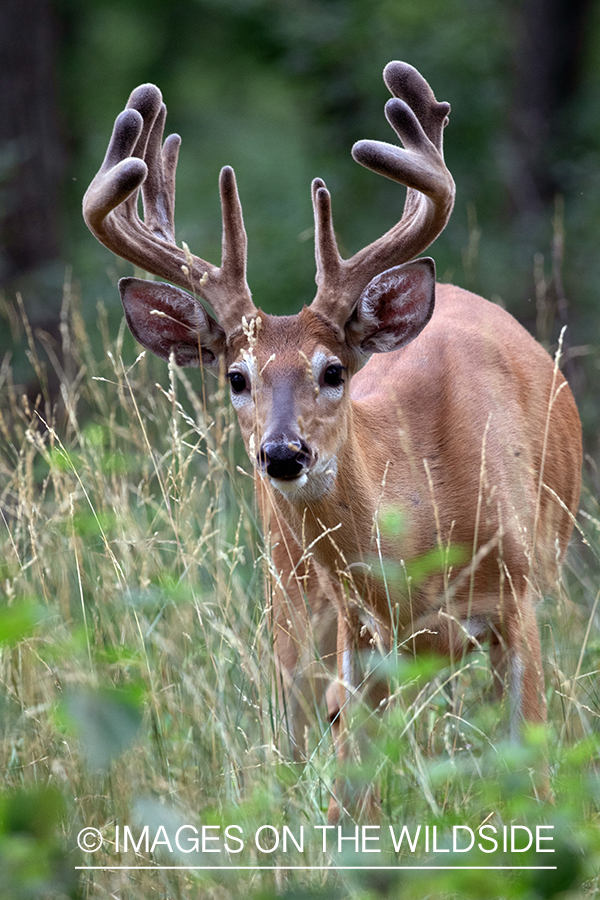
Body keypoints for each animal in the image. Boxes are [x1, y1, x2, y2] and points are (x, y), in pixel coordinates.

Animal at [84, 63, 580, 824]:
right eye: (236, 376)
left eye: (334, 370)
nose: (283, 454)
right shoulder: (359, 633)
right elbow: (354, 802)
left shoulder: (518, 599)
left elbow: (539, 785)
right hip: (288, 604)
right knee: (293, 751)